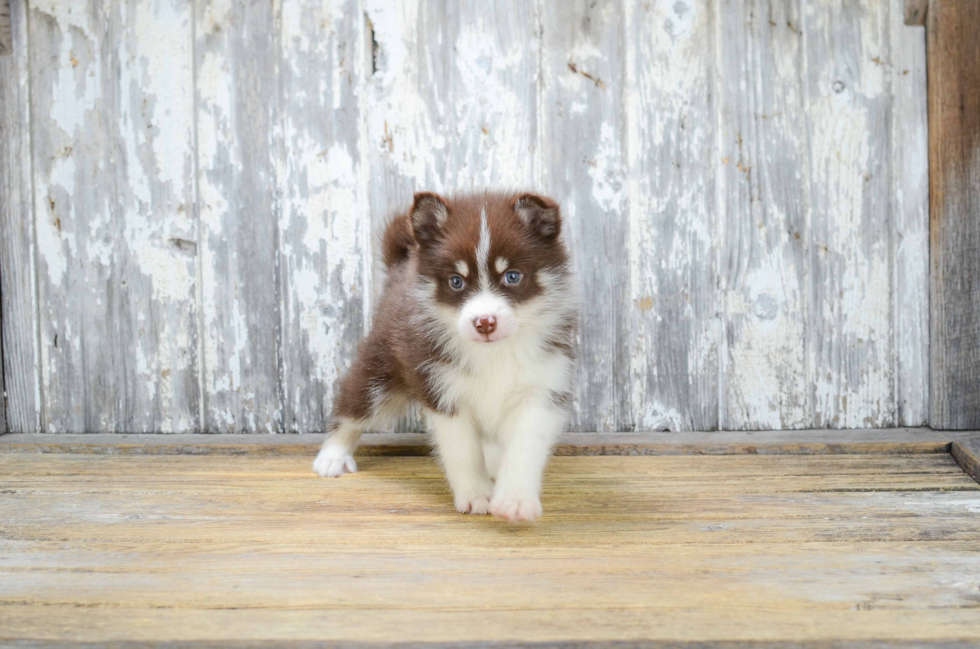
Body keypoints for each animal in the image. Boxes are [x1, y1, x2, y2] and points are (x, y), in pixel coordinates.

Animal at [314, 190, 576, 520]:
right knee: (353, 407)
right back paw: (333, 455)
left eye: (513, 276)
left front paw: (514, 499)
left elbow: (525, 445)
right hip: (380, 367)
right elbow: (463, 451)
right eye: (456, 281)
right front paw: (476, 494)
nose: (485, 322)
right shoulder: (442, 390)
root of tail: (402, 267)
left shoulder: (543, 385)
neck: (493, 353)